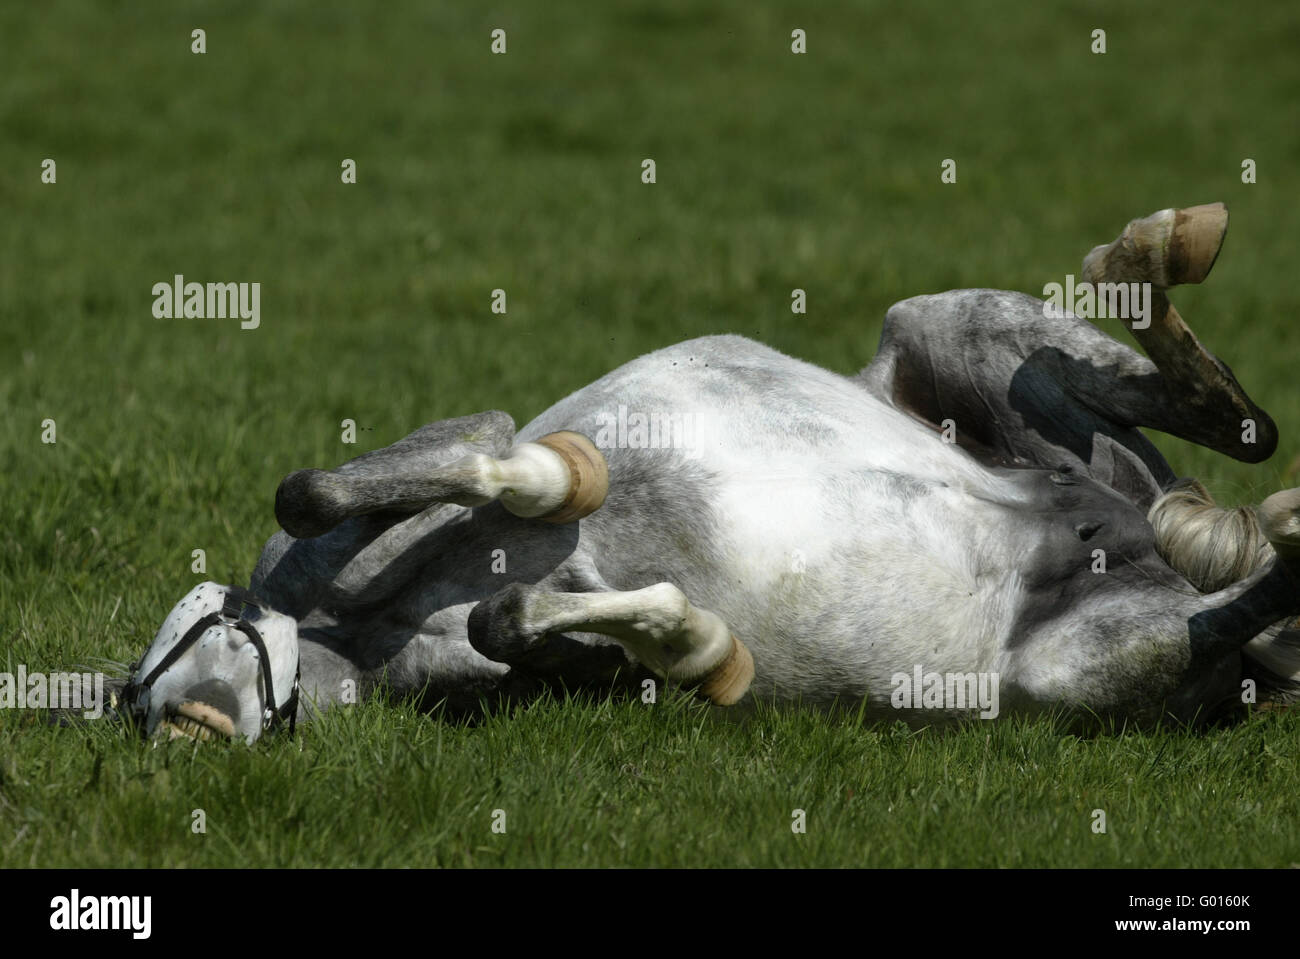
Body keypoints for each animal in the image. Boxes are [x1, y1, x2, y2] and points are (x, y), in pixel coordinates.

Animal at [122, 202, 1300, 743]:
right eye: (150, 703)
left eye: (176, 658)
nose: (195, 726)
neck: (358, 626)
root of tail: (1130, 527)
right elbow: (515, 622)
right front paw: (699, 644)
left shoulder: (461, 444)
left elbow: (348, 486)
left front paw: (561, 486)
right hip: (1082, 664)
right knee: (1236, 584)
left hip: (952, 329)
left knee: (1243, 427)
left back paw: (1155, 255)